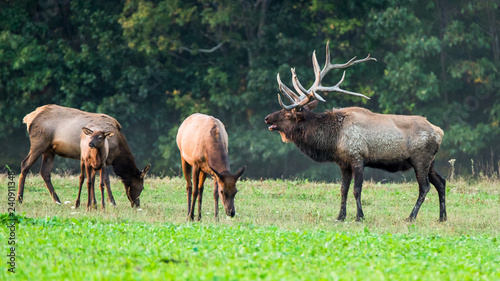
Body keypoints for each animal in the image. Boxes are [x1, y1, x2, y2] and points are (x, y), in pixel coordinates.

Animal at [17, 104, 150, 207]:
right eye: (141, 187)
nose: (136, 204)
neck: (117, 151)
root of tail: (28, 117)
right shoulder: (105, 159)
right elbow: (106, 180)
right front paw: (112, 202)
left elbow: (93, 179)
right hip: (39, 142)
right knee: (25, 164)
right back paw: (19, 198)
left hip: (49, 150)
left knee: (44, 172)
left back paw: (57, 200)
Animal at [264, 42, 448, 221]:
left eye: (287, 114)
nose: (267, 118)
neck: (333, 140)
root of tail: (439, 132)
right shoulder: (343, 163)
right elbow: (343, 189)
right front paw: (340, 216)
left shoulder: (357, 157)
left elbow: (356, 190)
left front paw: (359, 216)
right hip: (430, 161)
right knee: (441, 182)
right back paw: (442, 217)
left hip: (420, 158)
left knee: (425, 187)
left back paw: (411, 217)